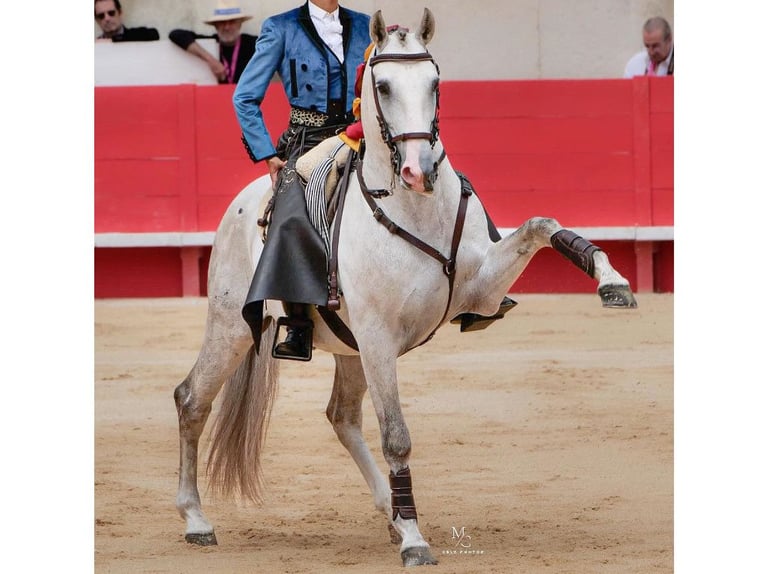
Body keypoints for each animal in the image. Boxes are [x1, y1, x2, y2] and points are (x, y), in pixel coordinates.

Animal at [177, 7, 640, 568]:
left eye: (436, 82)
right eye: (382, 85)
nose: (420, 171)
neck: (415, 207)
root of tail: (243, 203)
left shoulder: (479, 291)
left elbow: (541, 224)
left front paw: (612, 280)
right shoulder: (379, 336)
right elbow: (397, 436)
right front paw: (417, 541)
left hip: (346, 346)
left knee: (341, 416)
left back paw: (391, 514)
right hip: (233, 326)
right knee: (192, 399)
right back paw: (197, 520)